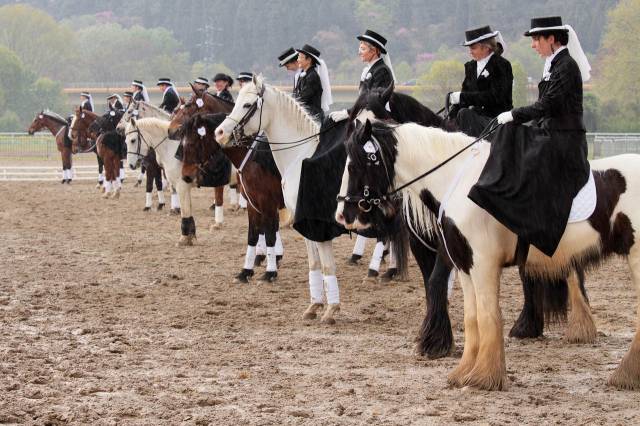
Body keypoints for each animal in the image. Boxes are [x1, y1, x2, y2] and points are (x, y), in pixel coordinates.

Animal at [336, 118, 640, 392]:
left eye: (354, 164)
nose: (343, 215)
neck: (458, 181)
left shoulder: (483, 264)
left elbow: (488, 316)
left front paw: (484, 378)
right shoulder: (464, 265)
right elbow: (472, 319)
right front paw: (463, 373)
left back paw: (624, 376)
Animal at [348, 85, 592, 358]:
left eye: (381, 118)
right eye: (352, 122)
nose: (356, 209)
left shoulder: (450, 241)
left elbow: (437, 281)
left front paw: (434, 341)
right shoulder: (422, 246)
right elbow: (431, 286)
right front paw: (438, 335)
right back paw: (530, 325)